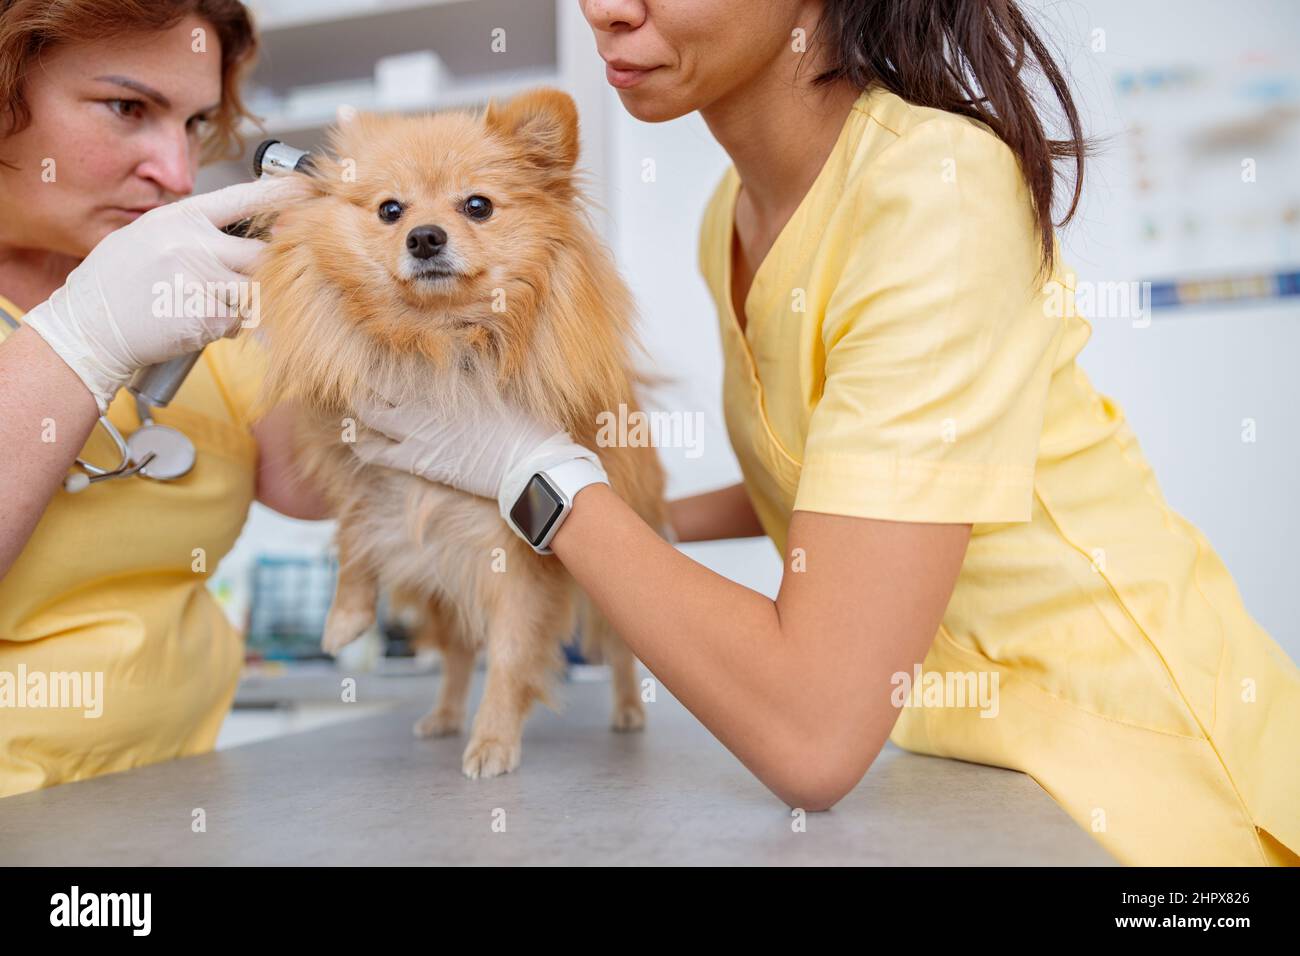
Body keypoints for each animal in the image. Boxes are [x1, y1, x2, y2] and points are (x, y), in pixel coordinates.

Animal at [248, 87, 665, 780]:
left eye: (477, 205)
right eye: (390, 210)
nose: (424, 237)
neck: (436, 344)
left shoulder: (519, 567)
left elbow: (512, 657)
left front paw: (493, 740)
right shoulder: (359, 464)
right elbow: (354, 534)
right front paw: (346, 616)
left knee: (617, 656)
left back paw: (629, 711)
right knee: (458, 658)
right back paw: (443, 715)